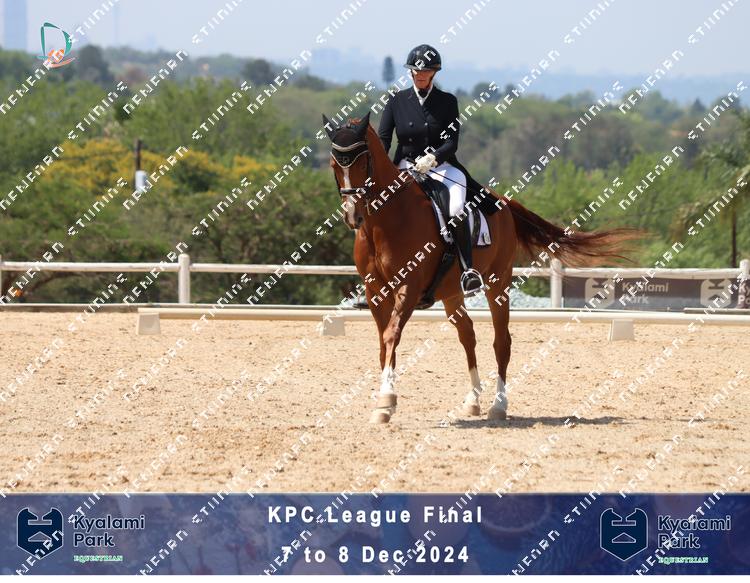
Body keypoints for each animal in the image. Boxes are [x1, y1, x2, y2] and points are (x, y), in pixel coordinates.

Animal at [322, 111, 637, 424]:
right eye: (334, 165)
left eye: (363, 162)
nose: (353, 217)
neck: (386, 222)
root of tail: (504, 202)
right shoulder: (375, 291)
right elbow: (383, 343)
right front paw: (384, 403)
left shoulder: (409, 287)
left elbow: (391, 335)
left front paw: (386, 401)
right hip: (451, 292)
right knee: (468, 335)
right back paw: (473, 401)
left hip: (498, 282)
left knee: (501, 341)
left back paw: (498, 406)